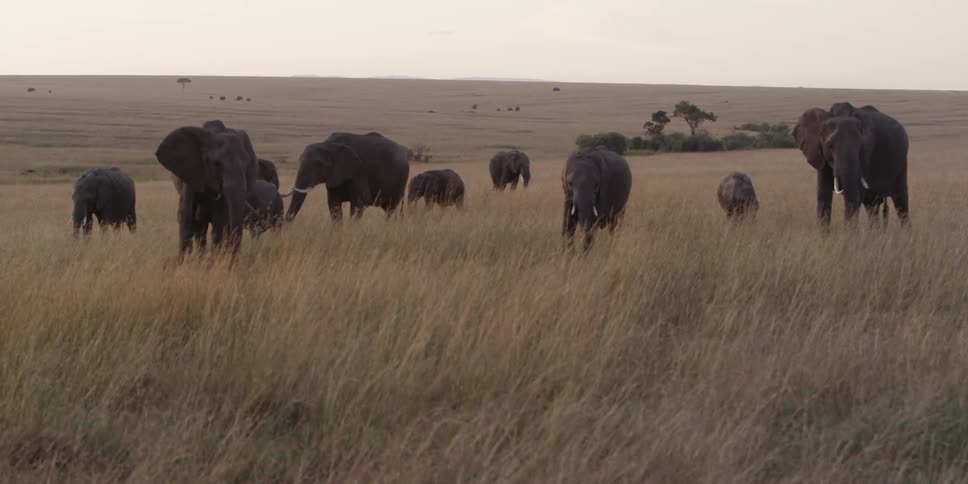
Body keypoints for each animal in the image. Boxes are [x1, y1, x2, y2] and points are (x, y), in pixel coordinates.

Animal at [155, 119, 258, 257]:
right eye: (216, 164)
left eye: (247, 165)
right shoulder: (191, 171)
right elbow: (186, 215)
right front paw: (183, 260)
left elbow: (219, 220)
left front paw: (214, 260)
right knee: (199, 224)